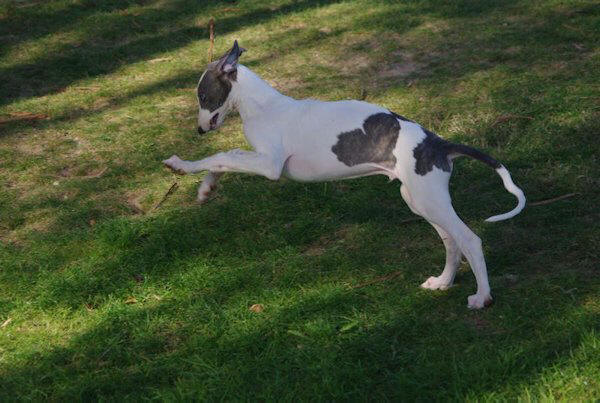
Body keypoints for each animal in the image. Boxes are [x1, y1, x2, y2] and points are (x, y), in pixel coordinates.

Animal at [163, 40, 526, 309]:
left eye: (203, 96)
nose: (198, 130)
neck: (264, 106)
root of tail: (438, 143)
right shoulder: (260, 160)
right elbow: (225, 159)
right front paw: (206, 188)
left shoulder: (269, 165)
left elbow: (224, 155)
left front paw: (182, 165)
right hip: (418, 199)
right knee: (451, 240)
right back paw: (444, 282)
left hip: (429, 200)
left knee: (470, 239)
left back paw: (482, 297)